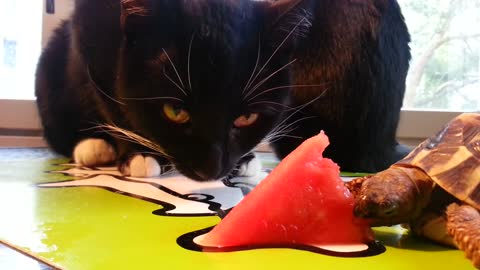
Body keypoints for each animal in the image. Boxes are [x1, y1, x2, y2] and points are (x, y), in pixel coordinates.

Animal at [35, 0, 410, 181]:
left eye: (247, 117)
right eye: (175, 111)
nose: (212, 170)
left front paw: (243, 160)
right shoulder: (88, 31)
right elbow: (111, 101)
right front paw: (139, 153)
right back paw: (93, 147)